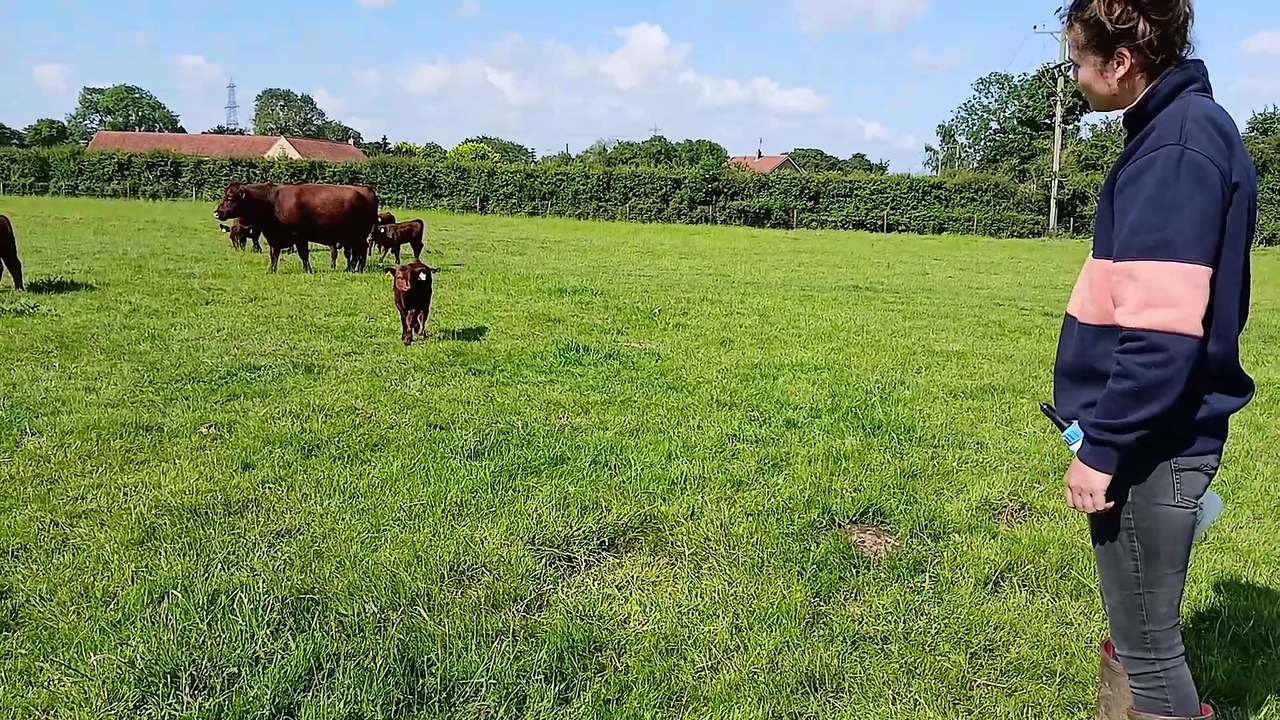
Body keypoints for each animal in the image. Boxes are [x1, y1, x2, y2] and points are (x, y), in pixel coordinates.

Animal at [213, 181, 378, 273]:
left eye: (230, 198)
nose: (216, 212)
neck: (273, 202)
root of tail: (367, 190)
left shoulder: (300, 236)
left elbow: (303, 255)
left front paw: (307, 270)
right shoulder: (274, 237)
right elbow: (274, 255)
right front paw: (271, 270)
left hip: (359, 235)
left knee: (360, 252)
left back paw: (357, 269)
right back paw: (352, 268)